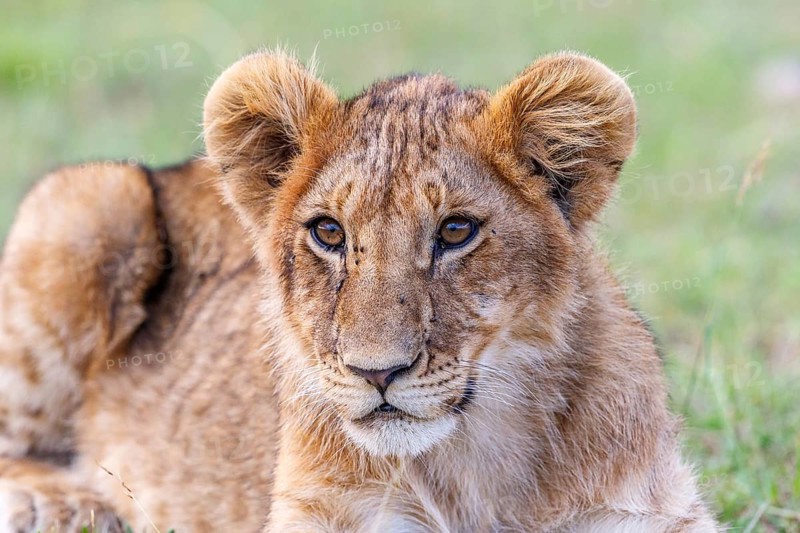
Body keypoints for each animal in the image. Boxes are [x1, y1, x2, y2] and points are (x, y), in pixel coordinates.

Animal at [0, 50, 718, 532]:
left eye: (456, 231)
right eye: (329, 232)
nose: (378, 373)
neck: (476, 460)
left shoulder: (645, 510)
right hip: (90, 197)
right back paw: (70, 503)